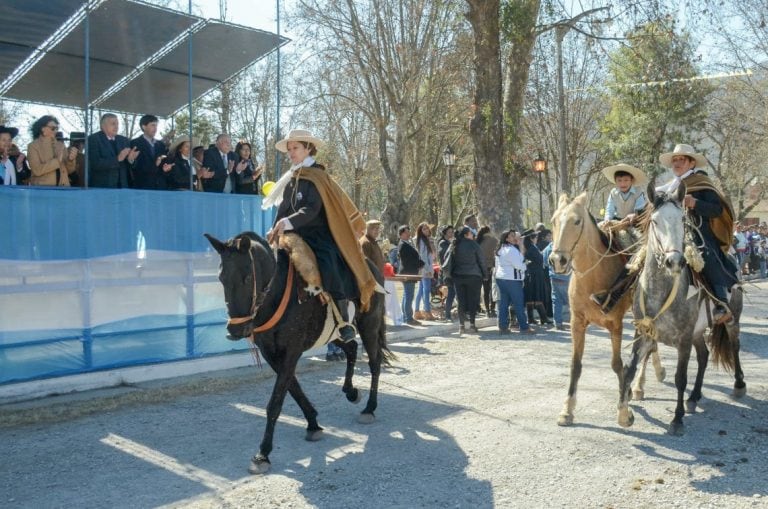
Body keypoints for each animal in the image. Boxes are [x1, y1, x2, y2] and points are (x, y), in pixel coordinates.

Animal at [204, 230, 390, 472]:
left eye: (247, 278)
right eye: (221, 278)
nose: (235, 330)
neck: (276, 295)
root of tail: (372, 267)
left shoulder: (291, 351)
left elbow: (276, 401)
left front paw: (263, 453)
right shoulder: (272, 353)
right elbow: (293, 388)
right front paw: (313, 423)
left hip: (369, 322)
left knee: (374, 361)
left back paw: (369, 408)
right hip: (334, 334)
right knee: (351, 348)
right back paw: (351, 392)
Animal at [548, 192, 664, 426]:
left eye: (577, 221)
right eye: (554, 220)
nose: (557, 260)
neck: (593, 278)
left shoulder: (615, 325)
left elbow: (617, 364)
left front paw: (625, 408)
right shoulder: (577, 323)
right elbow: (575, 365)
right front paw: (567, 410)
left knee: (649, 347)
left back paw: (639, 385)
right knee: (652, 345)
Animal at [620, 183, 748, 432]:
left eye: (682, 219)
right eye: (655, 221)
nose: (674, 262)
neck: (660, 292)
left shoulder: (684, 339)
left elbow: (680, 377)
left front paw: (677, 419)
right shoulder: (644, 333)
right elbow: (629, 368)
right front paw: (624, 414)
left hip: (731, 320)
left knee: (735, 346)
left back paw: (739, 385)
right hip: (698, 332)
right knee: (704, 356)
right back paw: (694, 397)